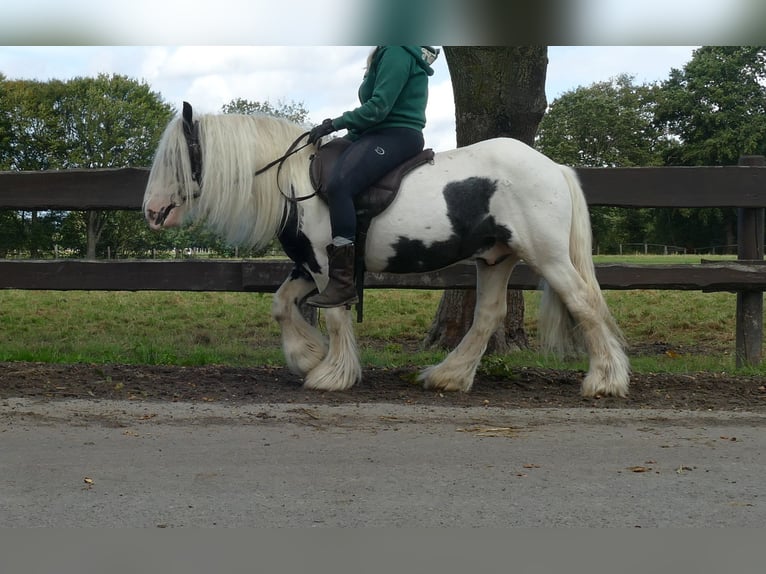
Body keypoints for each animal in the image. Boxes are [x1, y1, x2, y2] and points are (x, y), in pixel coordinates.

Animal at [142, 106, 632, 398]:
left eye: (176, 160)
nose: (151, 212)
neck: (296, 181)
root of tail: (553, 166)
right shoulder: (308, 265)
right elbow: (281, 306)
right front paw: (308, 356)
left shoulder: (328, 265)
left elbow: (335, 315)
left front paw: (331, 374)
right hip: (496, 258)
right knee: (488, 316)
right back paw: (448, 376)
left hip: (546, 256)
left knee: (584, 303)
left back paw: (605, 380)